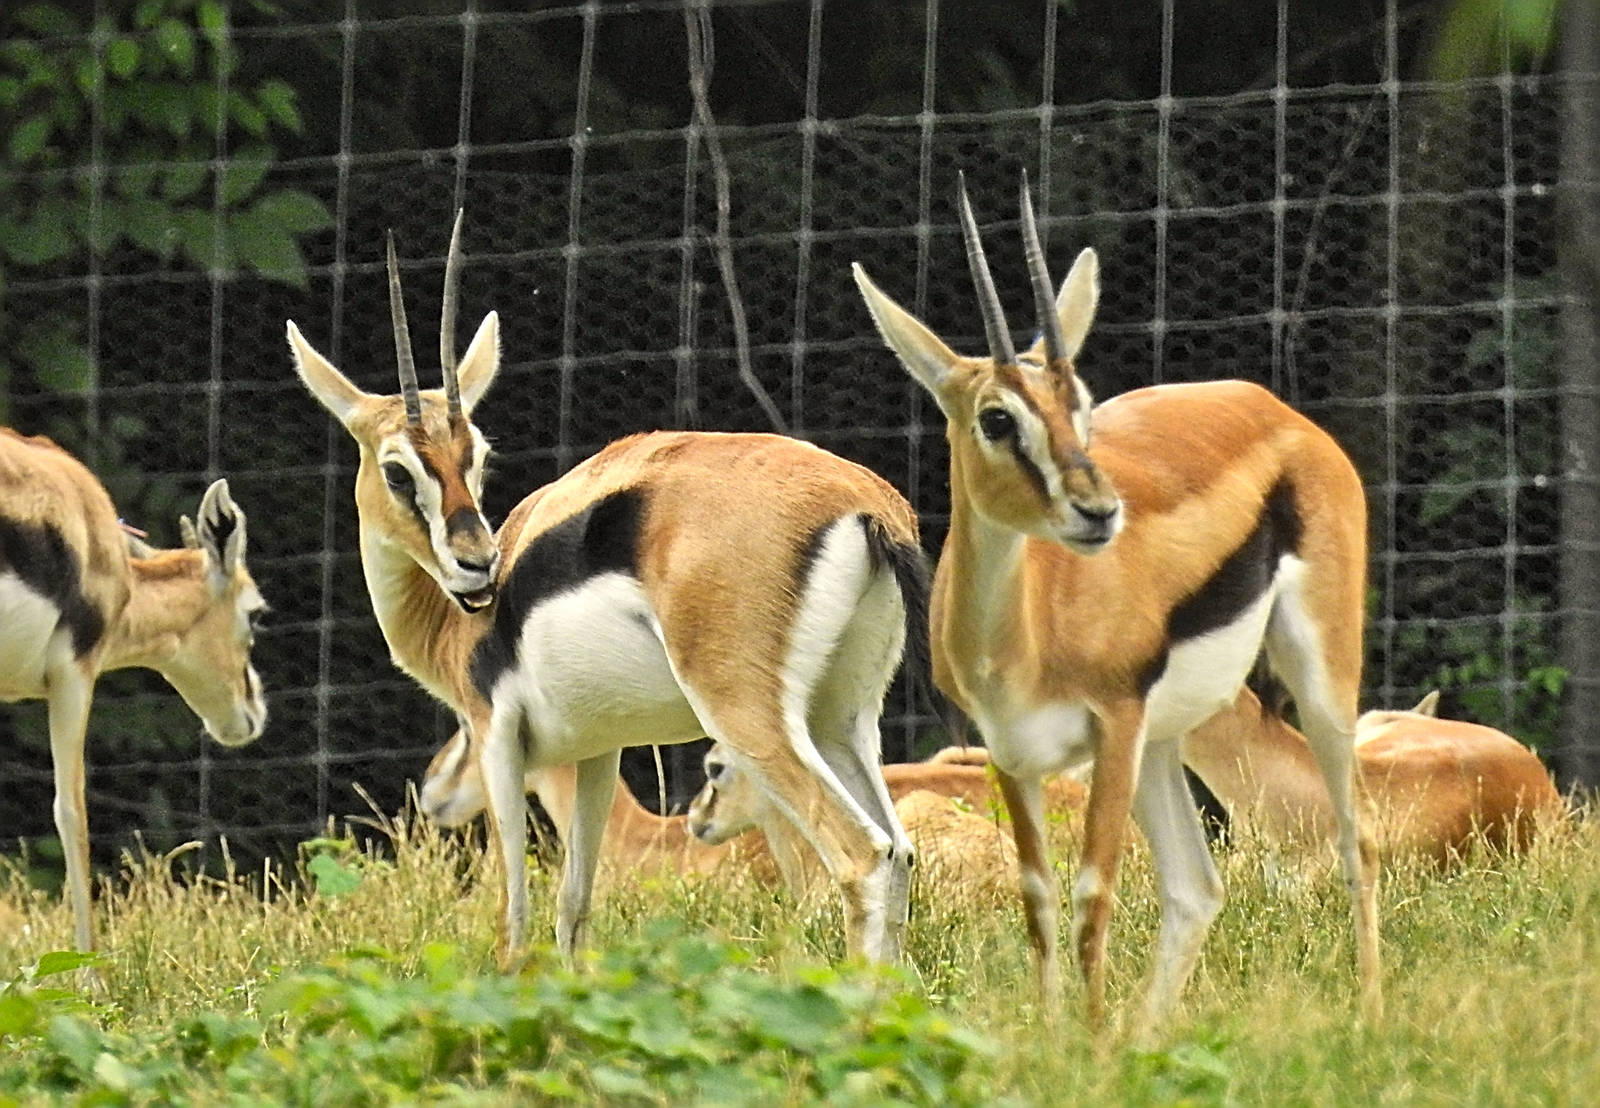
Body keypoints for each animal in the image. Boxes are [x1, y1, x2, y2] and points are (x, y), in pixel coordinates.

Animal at [287, 214, 930, 966]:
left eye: (476, 455)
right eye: (398, 469)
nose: (477, 564)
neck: (454, 627)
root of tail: (864, 504)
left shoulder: (497, 738)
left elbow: (514, 915)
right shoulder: (597, 750)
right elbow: (575, 907)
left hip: (748, 715)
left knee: (864, 855)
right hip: (841, 717)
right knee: (899, 854)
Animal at [851, 175, 1381, 1030]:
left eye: (1082, 405)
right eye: (997, 417)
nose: (1099, 511)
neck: (1024, 638)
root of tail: (1274, 409)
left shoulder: (1113, 725)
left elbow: (1092, 898)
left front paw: (1091, 1046)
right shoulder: (1009, 752)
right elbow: (1038, 899)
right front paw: (1059, 1038)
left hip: (1311, 674)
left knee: (1355, 831)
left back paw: (1369, 1012)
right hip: (1167, 739)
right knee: (1196, 886)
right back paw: (1147, 1033)